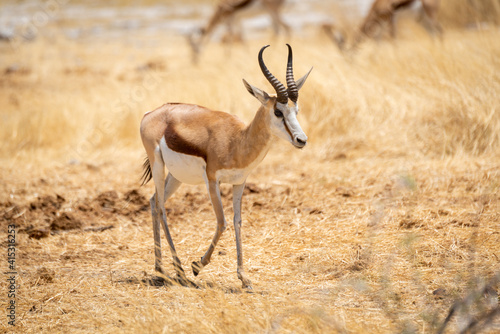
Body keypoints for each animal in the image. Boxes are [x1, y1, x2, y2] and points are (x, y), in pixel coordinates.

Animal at [141, 44, 310, 290]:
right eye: (278, 111)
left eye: (296, 110)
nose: (301, 140)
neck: (237, 141)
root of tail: (150, 113)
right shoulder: (212, 181)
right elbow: (222, 222)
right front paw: (197, 265)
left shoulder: (240, 182)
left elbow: (237, 222)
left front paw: (244, 277)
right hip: (158, 166)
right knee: (162, 207)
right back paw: (179, 271)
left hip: (175, 176)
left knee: (154, 202)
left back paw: (160, 269)